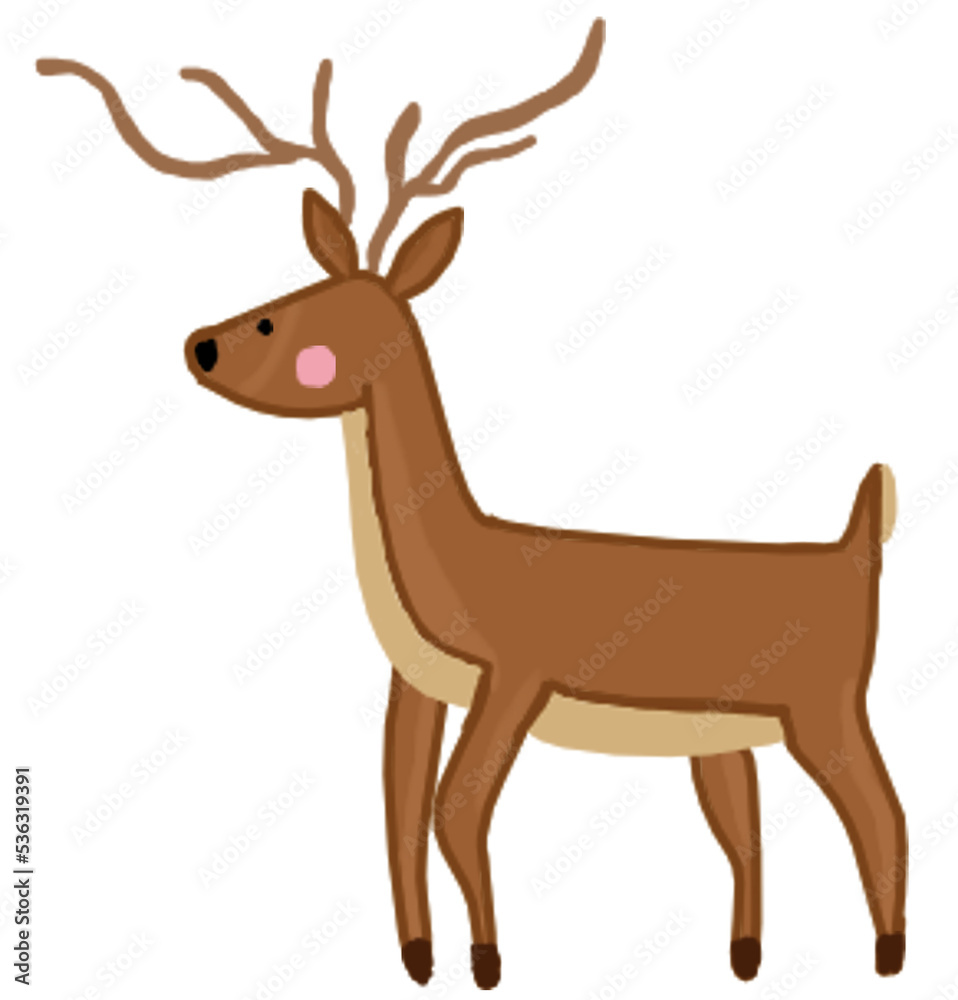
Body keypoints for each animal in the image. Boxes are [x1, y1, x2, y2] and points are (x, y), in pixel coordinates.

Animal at [38, 17, 907, 991]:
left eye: (279, 316)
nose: (201, 345)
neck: (457, 558)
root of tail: (861, 542)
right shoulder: (418, 683)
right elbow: (397, 811)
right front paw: (420, 961)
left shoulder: (514, 678)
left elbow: (455, 813)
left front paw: (489, 962)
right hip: (725, 738)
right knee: (749, 836)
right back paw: (746, 959)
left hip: (827, 712)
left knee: (884, 814)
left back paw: (888, 956)